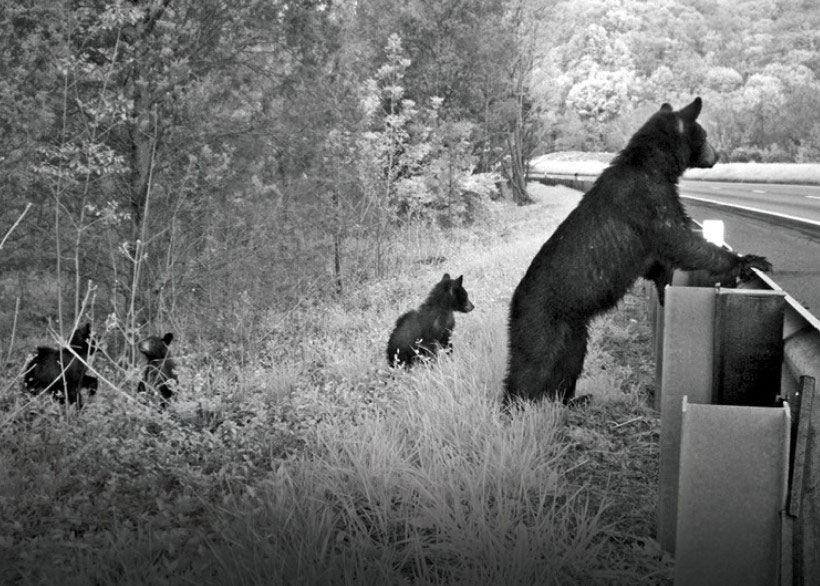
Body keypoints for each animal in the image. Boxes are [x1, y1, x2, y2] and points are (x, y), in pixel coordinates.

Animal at [502, 97, 772, 406]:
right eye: (704, 135)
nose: (716, 155)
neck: (652, 166)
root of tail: (513, 302)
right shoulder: (648, 200)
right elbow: (680, 240)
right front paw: (747, 261)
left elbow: (659, 262)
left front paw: (665, 289)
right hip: (541, 320)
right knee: (533, 365)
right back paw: (515, 405)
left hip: (574, 327)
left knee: (570, 359)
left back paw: (571, 399)